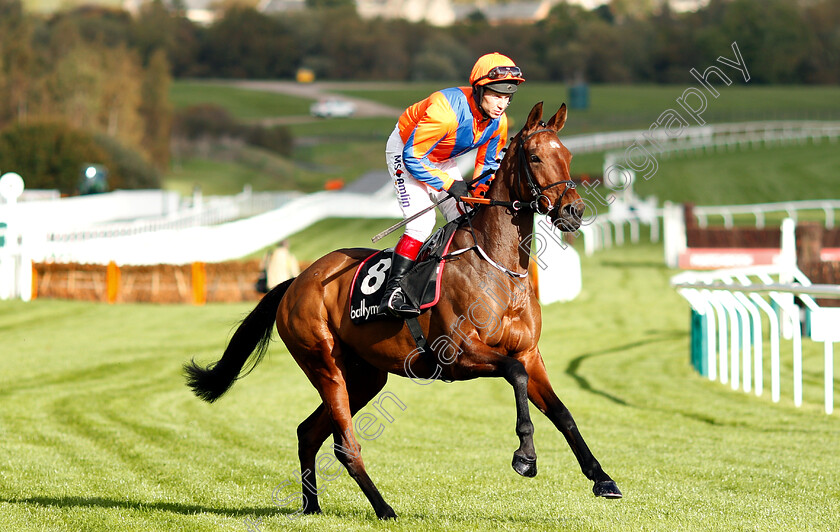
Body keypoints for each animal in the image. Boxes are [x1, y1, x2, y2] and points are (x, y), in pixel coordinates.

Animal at [185, 102, 616, 516]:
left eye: (568, 155)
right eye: (536, 156)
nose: (574, 211)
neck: (497, 268)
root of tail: (298, 281)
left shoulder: (529, 352)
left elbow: (562, 412)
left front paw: (602, 478)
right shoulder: (459, 355)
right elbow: (515, 375)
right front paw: (525, 455)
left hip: (364, 376)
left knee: (308, 432)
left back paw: (311, 506)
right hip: (324, 365)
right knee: (345, 445)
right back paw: (384, 508)